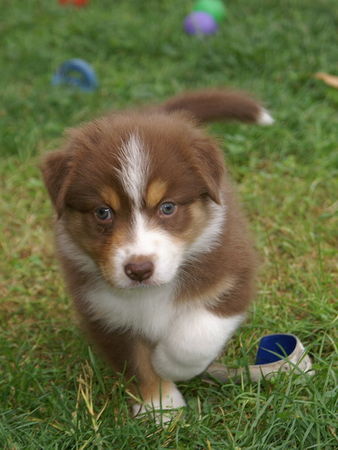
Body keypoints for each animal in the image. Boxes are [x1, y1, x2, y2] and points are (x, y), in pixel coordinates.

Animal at [41, 88, 274, 418]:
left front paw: (170, 365)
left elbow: (196, 334)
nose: (139, 269)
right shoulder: (104, 313)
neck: (150, 293)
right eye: (103, 212)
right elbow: (136, 363)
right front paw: (160, 407)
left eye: (168, 207)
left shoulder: (232, 273)